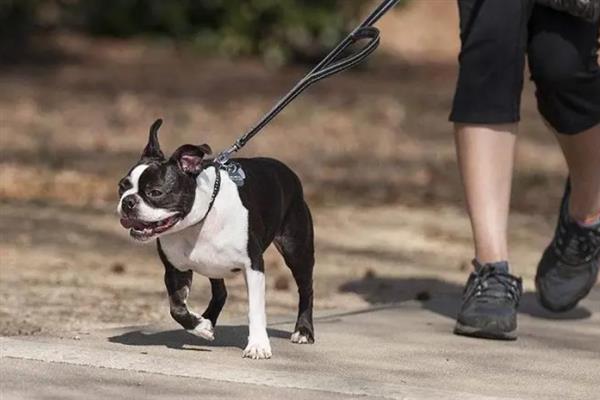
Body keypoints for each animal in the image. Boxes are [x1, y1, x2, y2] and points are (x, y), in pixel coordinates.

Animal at [115, 119, 316, 360]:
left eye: (155, 192)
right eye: (122, 187)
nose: (128, 201)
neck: (198, 221)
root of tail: (287, 171)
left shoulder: (253, 266)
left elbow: (255, 309)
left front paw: (258, 344)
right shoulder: (175, 270)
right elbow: (176, 308)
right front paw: (200, 326)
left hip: (296, 250)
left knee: (306, 288)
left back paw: (303, 330)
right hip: (213, 265)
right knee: (220, 292)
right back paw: (207, 320)